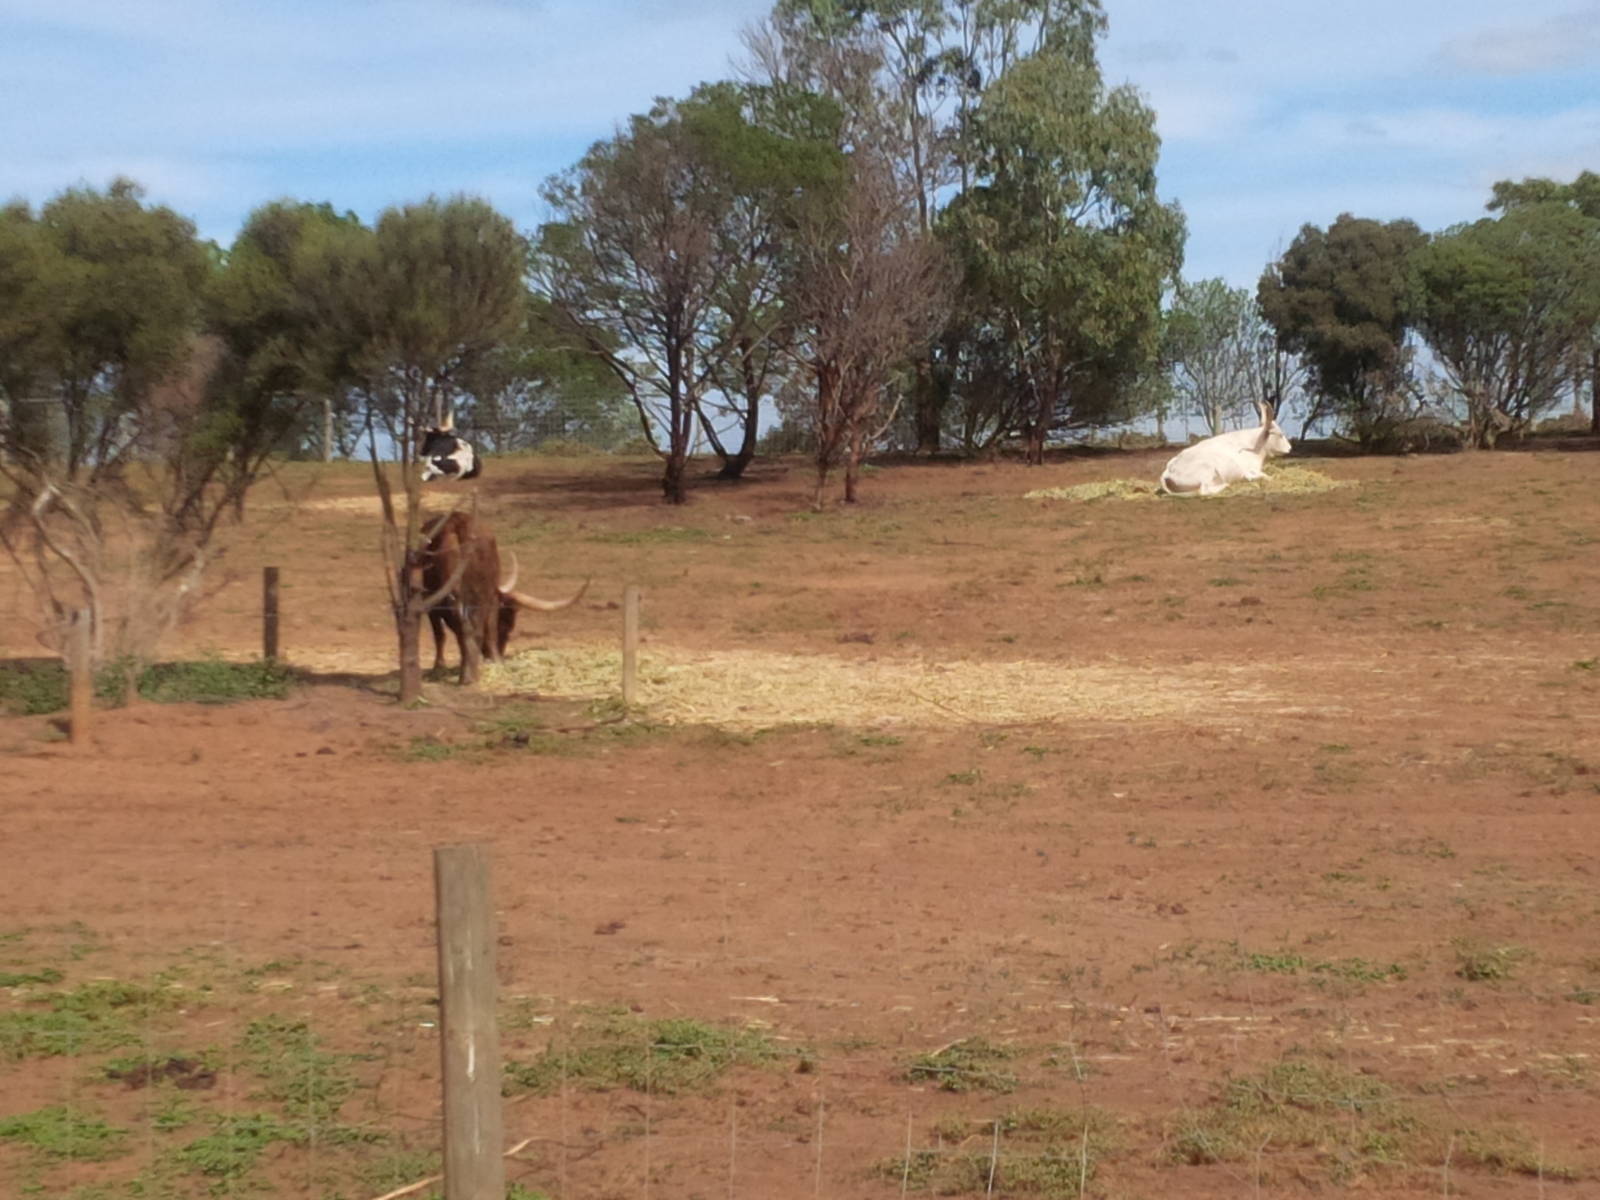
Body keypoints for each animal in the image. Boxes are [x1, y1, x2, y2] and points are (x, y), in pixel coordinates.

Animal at [416, 511, 586, 685]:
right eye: (507, 625)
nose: (501, 652)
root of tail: (455, 523)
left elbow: (441, 634)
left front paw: (440, 667)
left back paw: (466, 673)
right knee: (472, 629)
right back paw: (470, 673)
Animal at [1159, 400, 1291, 496]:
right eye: (1280, 434)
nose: (1290, 448)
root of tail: (1169, 470)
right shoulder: (1250, 469)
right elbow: (1265, 476)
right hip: (1207, 470)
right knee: (1203, 490)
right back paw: (1225, 485)